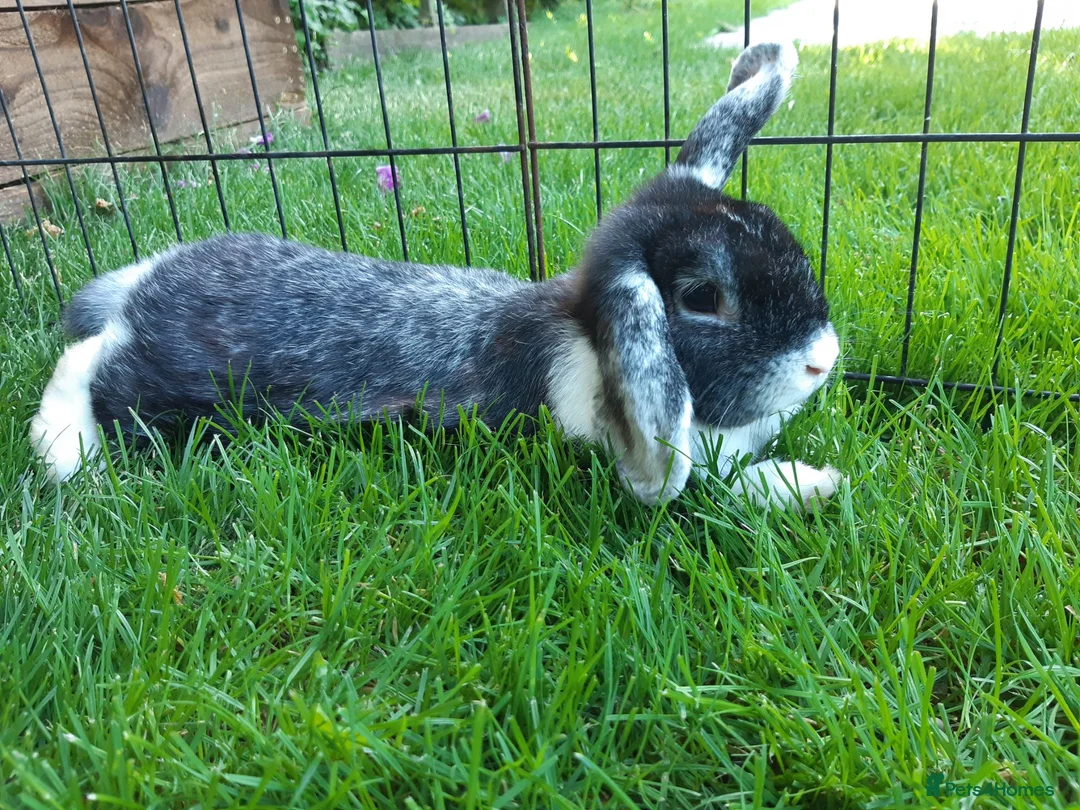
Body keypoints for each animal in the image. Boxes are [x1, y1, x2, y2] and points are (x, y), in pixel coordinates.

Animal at [31, 41, 842, 509]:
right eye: (703, 297)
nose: (825, 360)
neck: (587, 339)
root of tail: (144, 282)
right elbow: (715, 486)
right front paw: (811, 485)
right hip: (160, 382)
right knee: (85, 367)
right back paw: (64, 456)